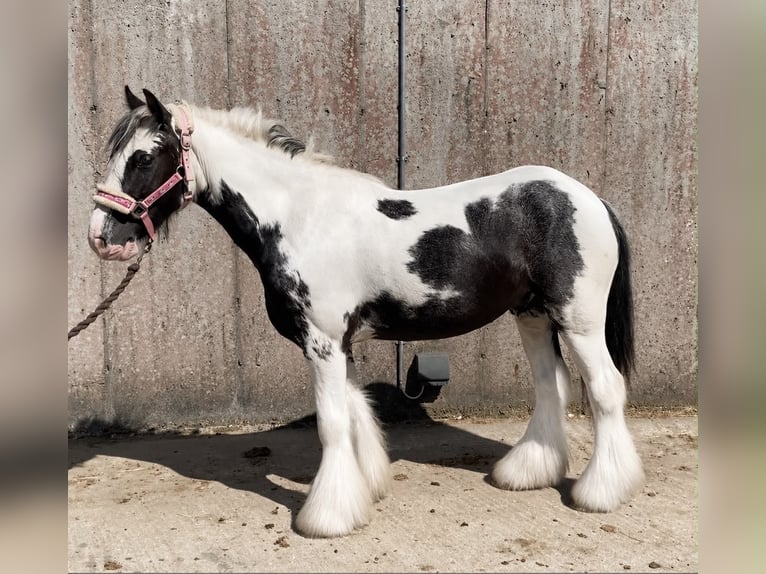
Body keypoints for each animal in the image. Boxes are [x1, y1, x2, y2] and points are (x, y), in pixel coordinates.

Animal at [86, 87, 644, 538]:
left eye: (142, 158)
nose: (100, 238)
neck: (298, 217)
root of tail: (590, 199)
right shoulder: (340, 344)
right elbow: (356, 414)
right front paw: (366, 489)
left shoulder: (322, 341)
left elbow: (332, 423)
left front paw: (325, 517)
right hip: (532, 316)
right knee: (552, 386)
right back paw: (526, 473)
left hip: (580, 321)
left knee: (604, 389)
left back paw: (600, 493)